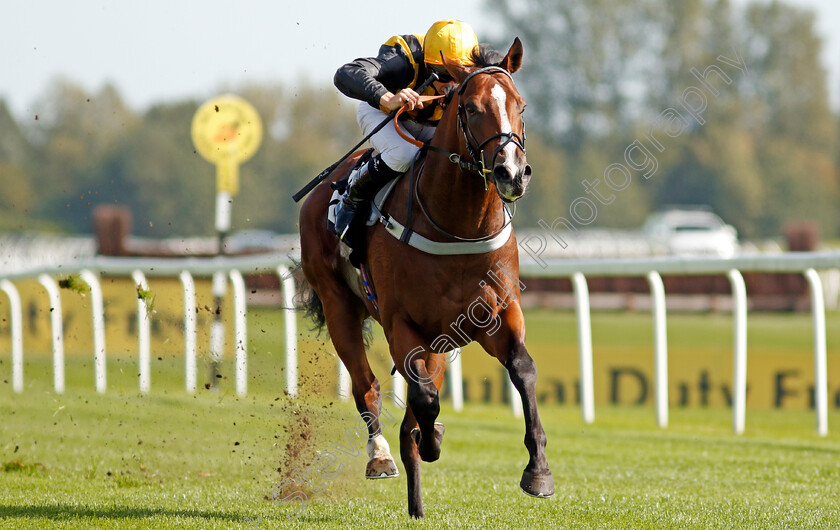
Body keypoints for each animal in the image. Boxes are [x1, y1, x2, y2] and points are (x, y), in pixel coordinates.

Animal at [298, 39, 556, 516]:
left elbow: (523, 369)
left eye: (521, 105)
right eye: (471, 108)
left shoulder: (494, 314)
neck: (457, 225)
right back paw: (380, 456)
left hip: (437, 340)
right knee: (367, 387)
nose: (512, 172)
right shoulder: (402, 323)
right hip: (339, 305)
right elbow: (421, 399)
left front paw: (539, 472)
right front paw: (430, 437)